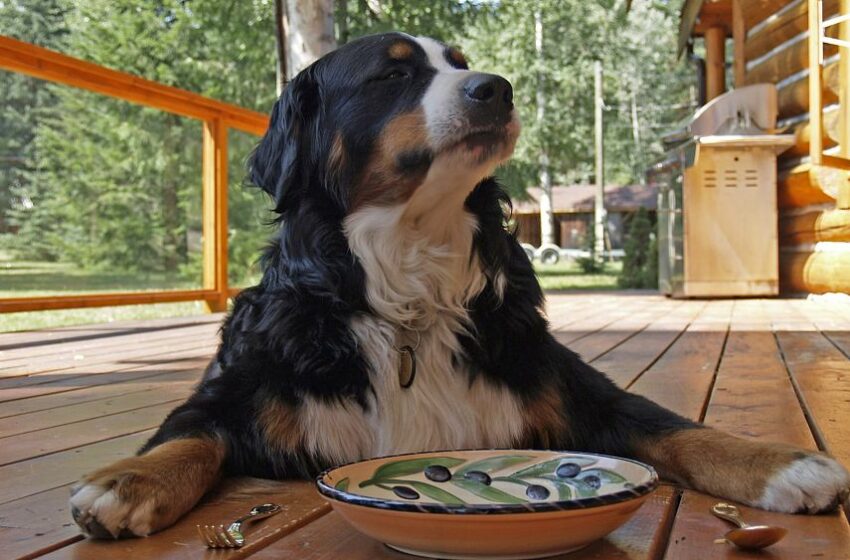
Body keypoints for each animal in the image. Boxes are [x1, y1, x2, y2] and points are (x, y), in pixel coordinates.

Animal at [69, 31, 844, 540]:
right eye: (391, 77)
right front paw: (125, 481)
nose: (496, 88)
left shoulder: (571, 385)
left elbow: (675, 427)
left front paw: (782, 465)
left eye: (463, 66)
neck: (409, 287)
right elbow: (189, 436)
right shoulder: (239, 389)